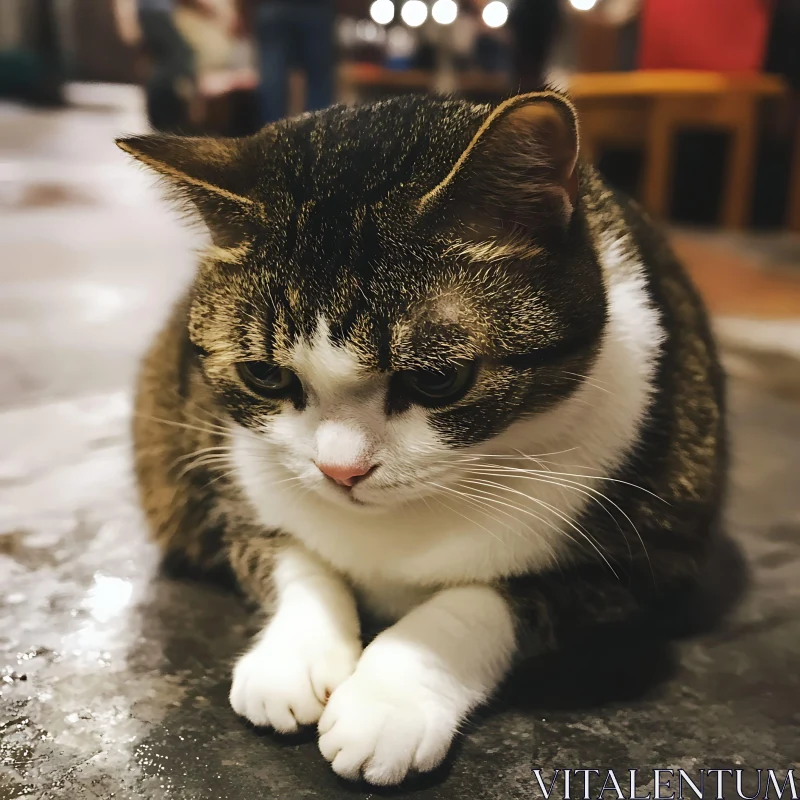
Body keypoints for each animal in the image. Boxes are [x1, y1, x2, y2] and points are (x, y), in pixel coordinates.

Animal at [119, 92, 724, 788]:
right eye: (265, 376)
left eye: (437, 380)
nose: (341, 471)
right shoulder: (219, 474)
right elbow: (290, 554)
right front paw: (294, 656)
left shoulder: (646, 562)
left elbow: (482, 600)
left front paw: (390, 699)